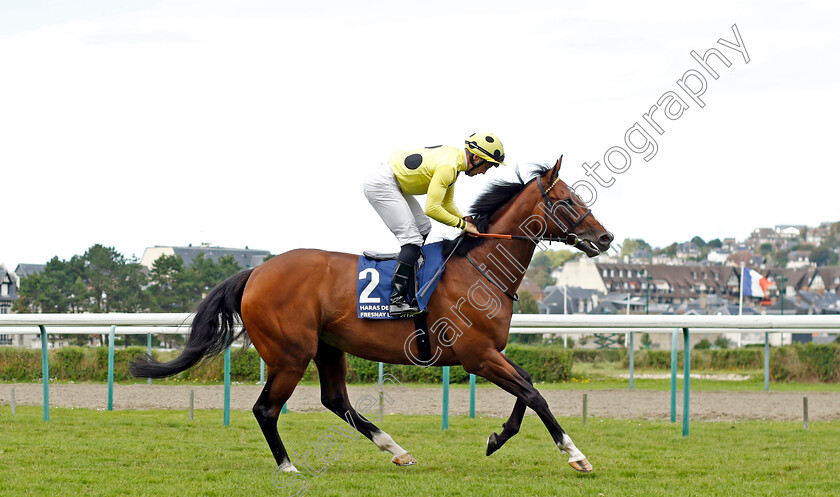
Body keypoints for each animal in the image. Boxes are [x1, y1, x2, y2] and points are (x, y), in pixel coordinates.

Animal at [133, 157, 616, 474]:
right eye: (566, 201)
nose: (606, 238)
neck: (480, 269)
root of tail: (256, 270)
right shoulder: (477, 355)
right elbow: (535, 395)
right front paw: (576, 455)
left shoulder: (490, 353)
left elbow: (528, 389)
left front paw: (496, 438)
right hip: (291, 353)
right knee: (266, 408)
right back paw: (289, 466)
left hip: (328, 347)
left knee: (335, 400)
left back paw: (396, 449)